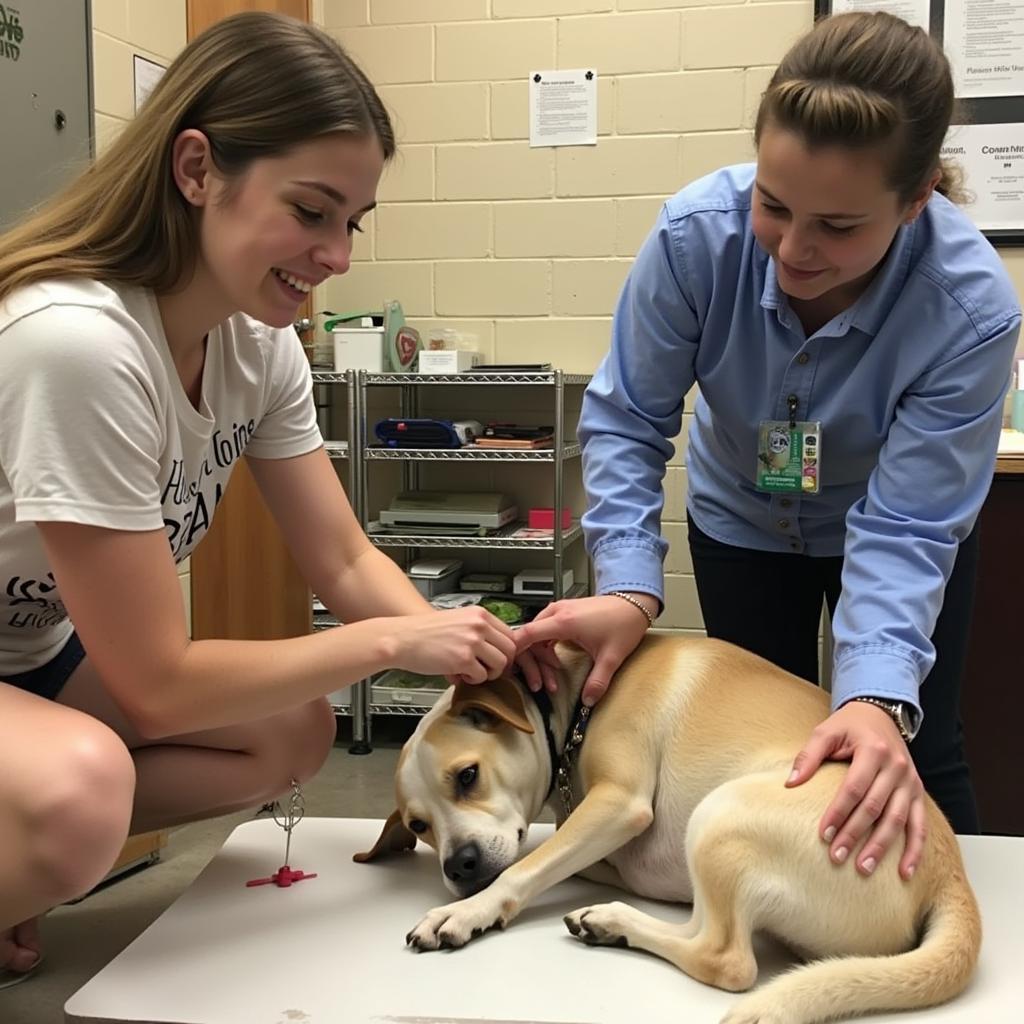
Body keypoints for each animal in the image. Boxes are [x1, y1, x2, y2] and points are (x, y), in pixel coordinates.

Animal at [356, 634, 978, 1019]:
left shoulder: (619, 803)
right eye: (419, 825)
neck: (579, 698)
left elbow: (525, 868)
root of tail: (949, 876)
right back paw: (610, 921)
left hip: (720, 816)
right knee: (703, 927)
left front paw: (465, 912)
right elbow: (556, 855)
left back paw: (616, 922)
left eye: (468, 776)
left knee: (726, 958)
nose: (460, 868)